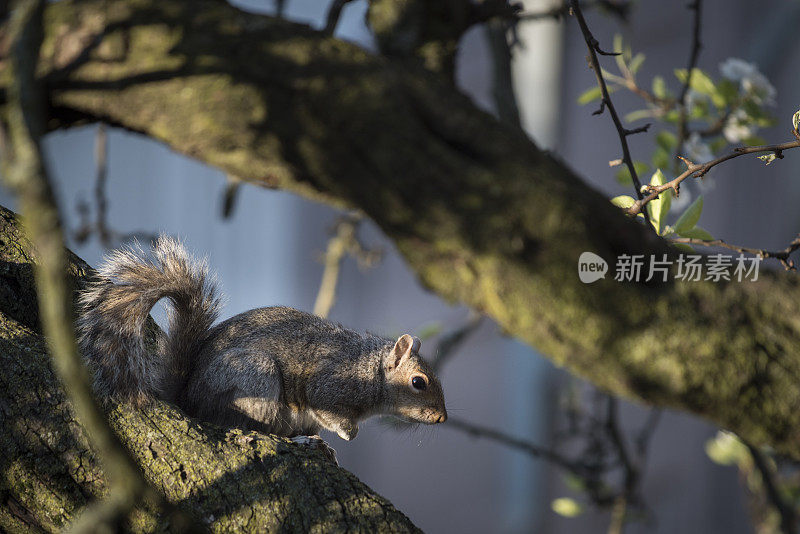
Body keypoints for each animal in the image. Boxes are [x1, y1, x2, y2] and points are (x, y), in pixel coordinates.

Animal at [77, 237, 446, 442]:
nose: (442, 418)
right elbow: (325, 407)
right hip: (256, 378)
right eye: (418, 382)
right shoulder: (330, 384)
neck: (369, 371)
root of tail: (189, 397)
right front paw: (347, 432)